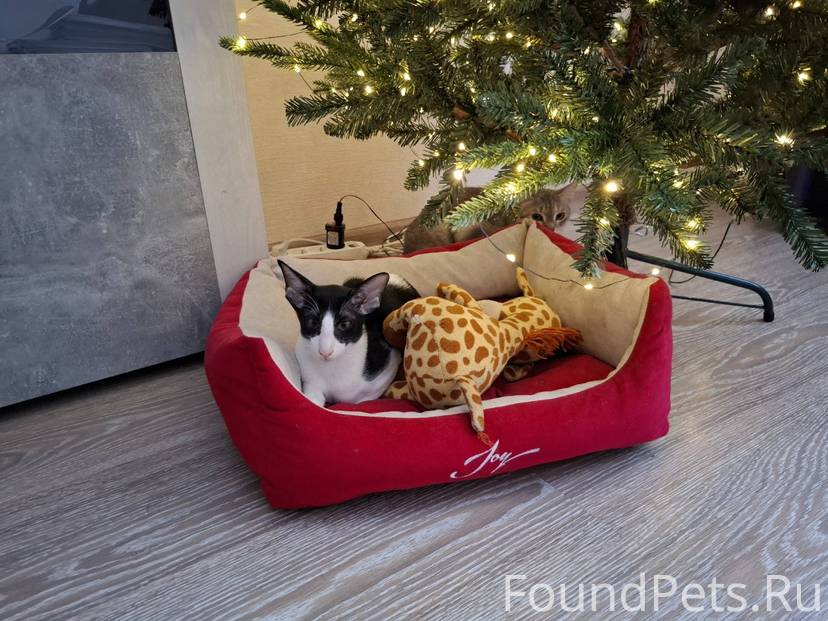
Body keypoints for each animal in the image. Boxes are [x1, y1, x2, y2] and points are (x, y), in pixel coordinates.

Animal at [278, 261, 419, 406]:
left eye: (344, 325)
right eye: (313, 322)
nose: (325, 352)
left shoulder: (389, 364)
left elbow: (360, 398)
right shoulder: (307, 375)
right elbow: (311, 398)